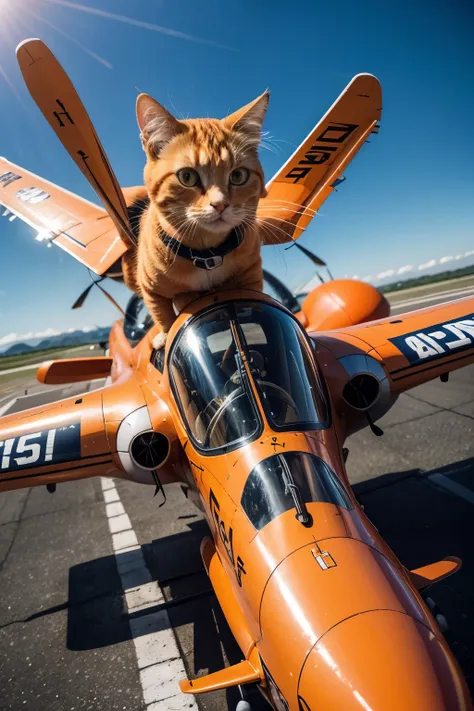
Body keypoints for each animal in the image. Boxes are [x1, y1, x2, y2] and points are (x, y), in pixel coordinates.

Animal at [122, 92, 270, 348]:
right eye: (187, 177)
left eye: (238, 175)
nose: (220, 204)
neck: (207, 253)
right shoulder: (151, 290)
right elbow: (163, 315)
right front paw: (165, 336)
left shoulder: (251, 272)